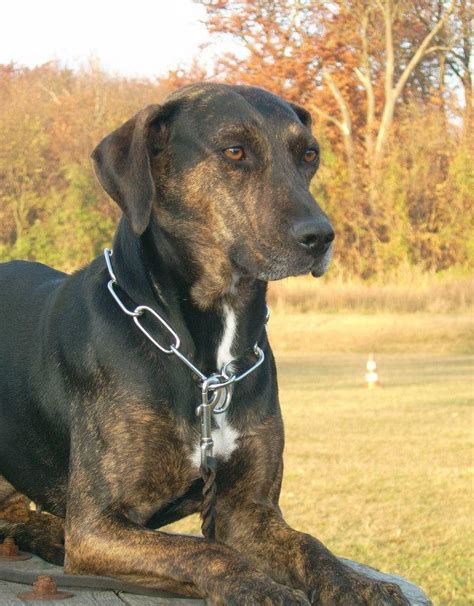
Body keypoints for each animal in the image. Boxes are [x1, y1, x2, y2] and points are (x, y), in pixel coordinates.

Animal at [0, 83, 408, 604]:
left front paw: (359, 584)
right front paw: (260, 588)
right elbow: (205, 549)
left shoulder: (247, 511)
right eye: (234, 151)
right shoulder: (98, 526)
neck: (207, 362)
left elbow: (309, 544)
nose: (321, 236)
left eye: (309, 154)